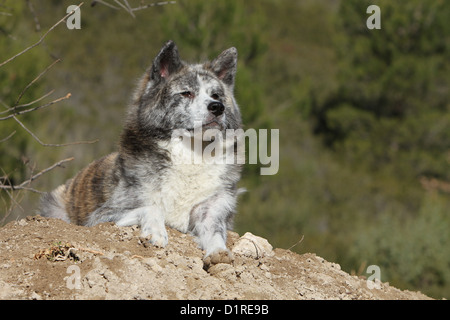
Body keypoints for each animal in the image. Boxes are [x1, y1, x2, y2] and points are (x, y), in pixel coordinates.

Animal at [39, 41, 243, 268]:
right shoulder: (100, 216)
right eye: (186, 93)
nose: (217, 107)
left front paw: (218, 252)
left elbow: (214, 231)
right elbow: (152, 208)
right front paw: (156, 233)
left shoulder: (211, 211)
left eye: (216, 95)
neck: (191, 155)